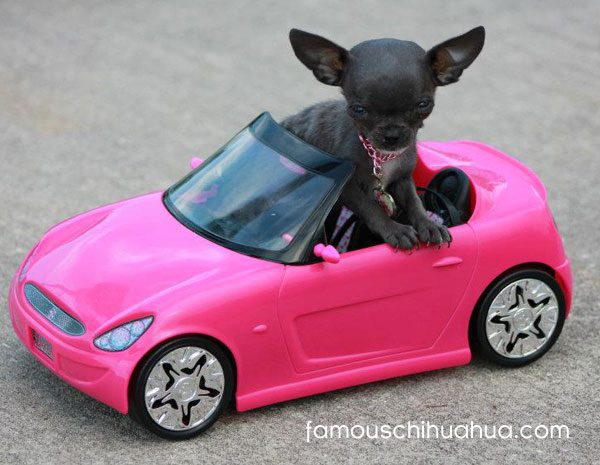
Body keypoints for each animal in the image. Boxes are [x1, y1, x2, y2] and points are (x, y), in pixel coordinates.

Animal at [284, 26, 486, 248]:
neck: (380, 157)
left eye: (424, 105)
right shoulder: (347, 189)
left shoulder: (402, 180)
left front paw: (429, 225)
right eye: (358, 109)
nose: (392, 134)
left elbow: (415, 202)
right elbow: (370, 207)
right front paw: (395, 230)